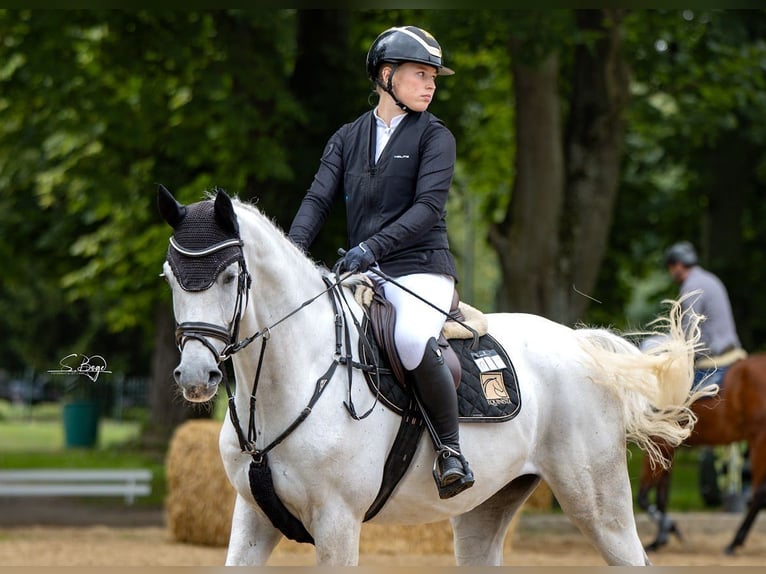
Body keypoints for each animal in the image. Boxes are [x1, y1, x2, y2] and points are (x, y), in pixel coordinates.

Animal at [159, 189, 716, 568]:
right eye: (170, 276)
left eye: (230, 276)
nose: (195, 375)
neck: (285, 383)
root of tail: (581, 346)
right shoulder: (251, 518)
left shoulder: (337, 523)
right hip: (487, 507)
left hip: (597, 502)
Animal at [640, 354, 766, 556]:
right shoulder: (667, 449)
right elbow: (661, 496)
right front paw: (659, 539)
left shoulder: (659, 444)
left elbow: (643, 497)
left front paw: (669, 530)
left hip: (759, 440)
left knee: (759, 494)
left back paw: (733, 543)